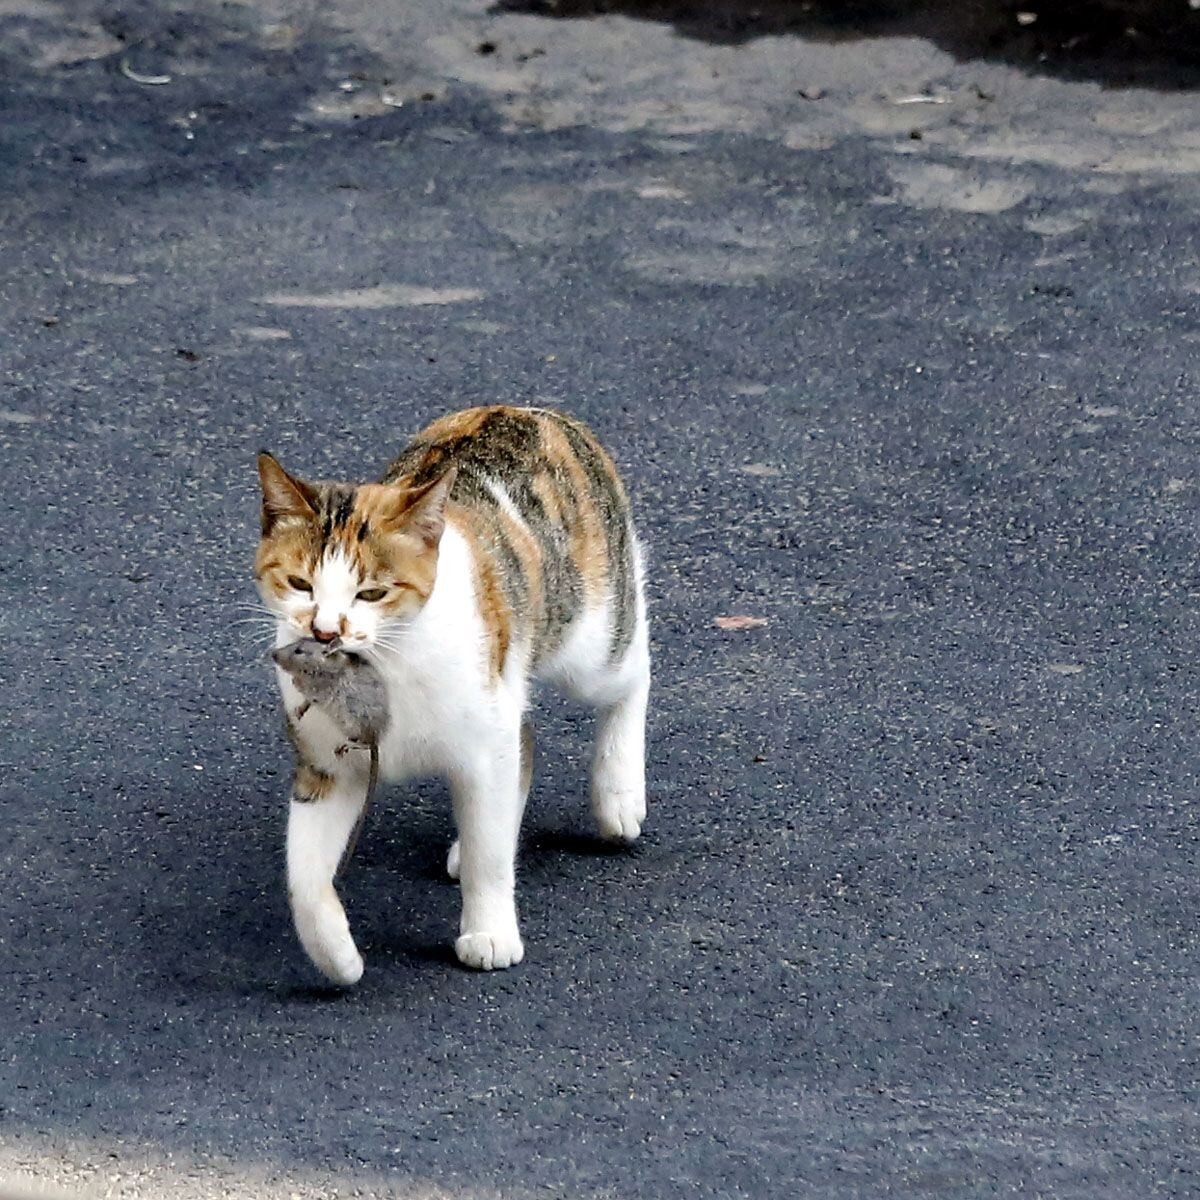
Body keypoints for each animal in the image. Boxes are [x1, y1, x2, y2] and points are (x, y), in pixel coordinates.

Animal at [250, 408, 648, 979]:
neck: (384, 666)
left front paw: (489, 931)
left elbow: (489, 855)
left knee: (632, 671)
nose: (326, 631)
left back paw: (619, 792)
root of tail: (529, 409)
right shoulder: (328, 764)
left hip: (587, 638)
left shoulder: (483, 741)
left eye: (371, 593)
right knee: (525, 739)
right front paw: (338, 957)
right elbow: (303, 878)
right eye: (300, 584)